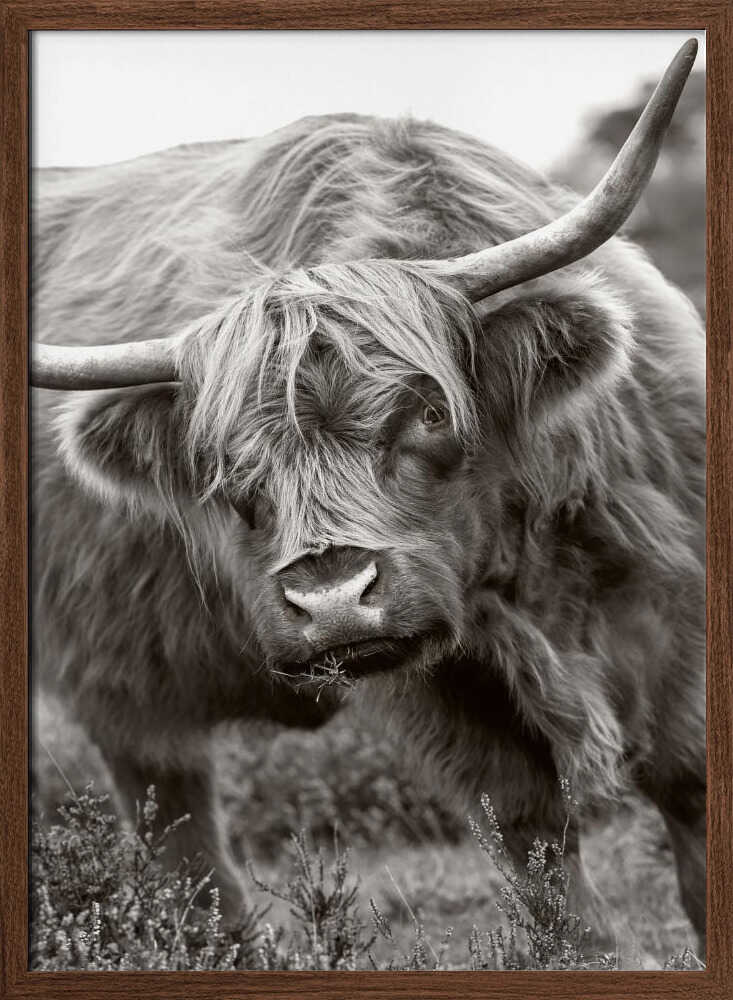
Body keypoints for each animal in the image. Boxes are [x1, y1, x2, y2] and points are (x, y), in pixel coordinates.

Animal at [32, 40, 705, 960]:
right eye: (225, 463)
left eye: (428, 413)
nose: (331, 599)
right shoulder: (445, 691)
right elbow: (531, 836)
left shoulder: (674, 602)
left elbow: (689, 785)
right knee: (178, 830)